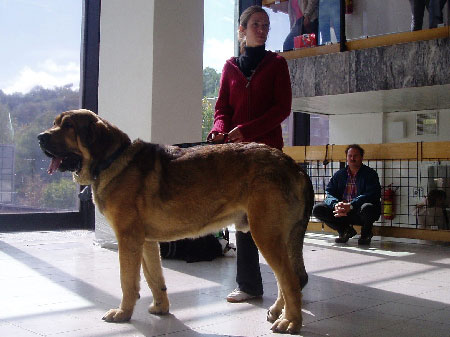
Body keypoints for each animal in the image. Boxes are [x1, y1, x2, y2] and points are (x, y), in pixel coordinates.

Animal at [37, 109, 312, 332]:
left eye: (68, 126)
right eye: (55, 123)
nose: (40, 137)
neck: (111, 160)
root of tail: (292, 165)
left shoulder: (128, 240)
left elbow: (128, 281)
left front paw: (123, 313)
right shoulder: (147, 243)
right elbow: (154, 279)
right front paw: (161, 308)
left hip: (265, 235)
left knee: (290, 280)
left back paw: (291, 322)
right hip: (277, 237)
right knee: (288, 280)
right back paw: (279, 312)